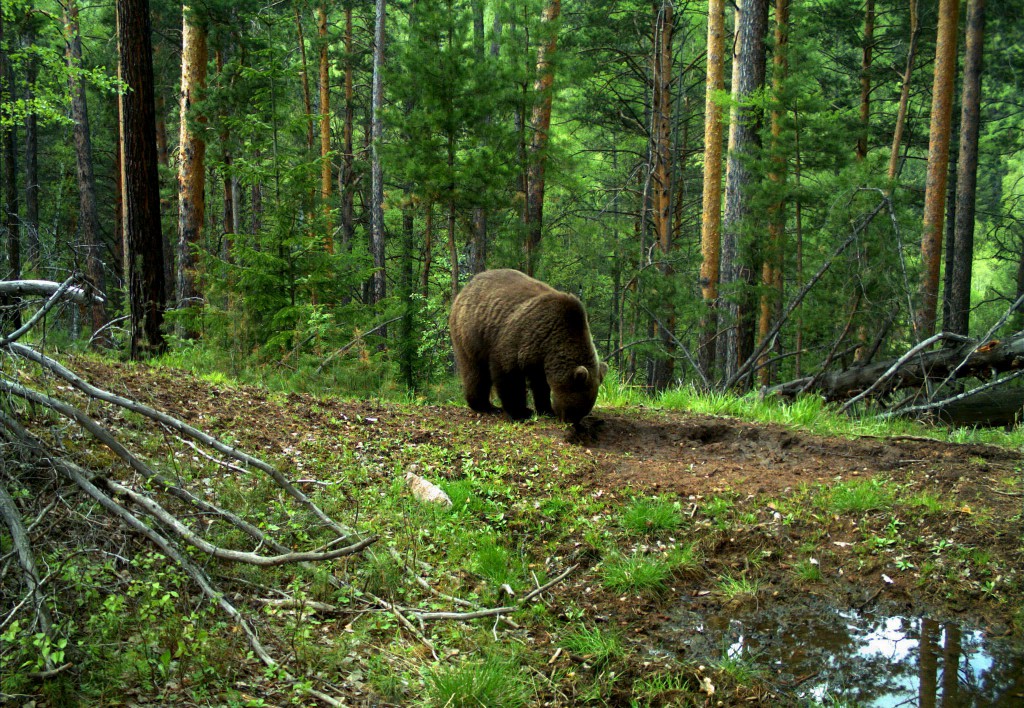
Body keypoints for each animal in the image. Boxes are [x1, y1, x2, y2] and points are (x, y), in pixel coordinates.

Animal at [449, 269, 608, 424]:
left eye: (582, 412)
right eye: (574, 410)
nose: (569, 422)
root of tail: (466, 287)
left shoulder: (540, 357)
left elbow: (540, 384)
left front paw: (546, 409)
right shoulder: (523, 337)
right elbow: (508, 374)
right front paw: (520, 413)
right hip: (472, 332)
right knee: (476, 371)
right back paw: (484, 406)